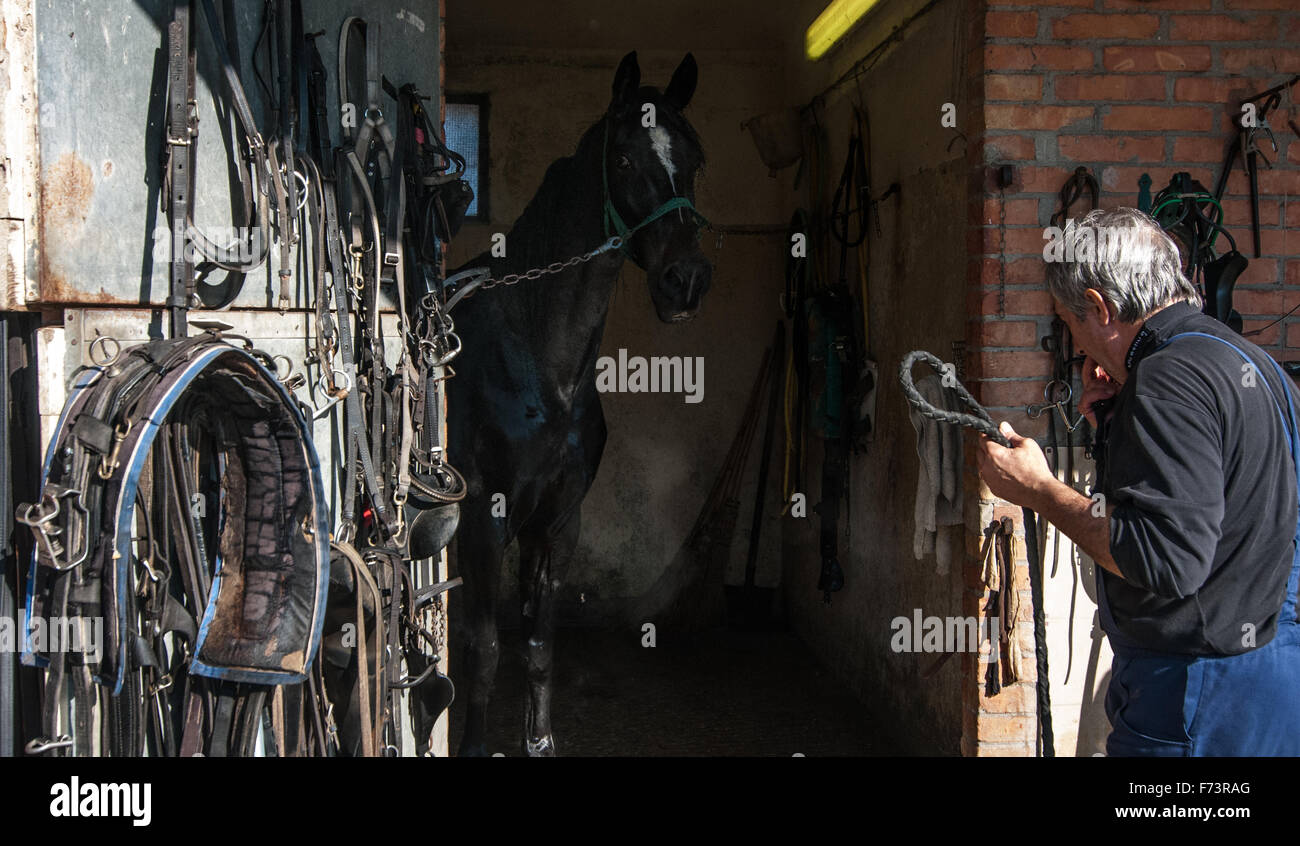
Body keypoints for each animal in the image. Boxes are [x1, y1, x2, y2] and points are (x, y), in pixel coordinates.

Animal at [447, 49, 712, 758]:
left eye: (696, 158)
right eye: (622, 159)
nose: (686, 280)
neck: (543, 367)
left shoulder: (560, 524)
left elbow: (539, 646)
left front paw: (540, 743)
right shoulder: (485, 519)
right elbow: (483, 649)